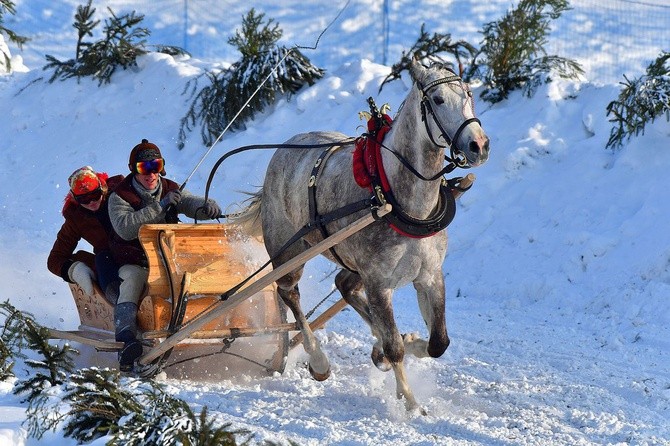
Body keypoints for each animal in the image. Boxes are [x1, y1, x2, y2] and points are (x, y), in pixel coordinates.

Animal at [234, 60, 490, 414]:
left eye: (468, 93)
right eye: (437, 99)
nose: (478, 145)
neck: (397, 199)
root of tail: (283, 150)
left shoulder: (429, 275)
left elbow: (438, 342)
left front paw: (408, 344)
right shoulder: (379, 283)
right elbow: (395, 346)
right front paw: (409, 401)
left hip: (351, 263)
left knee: (343, 285)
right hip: (290, 252)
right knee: (289, 294)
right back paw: (318, 359)